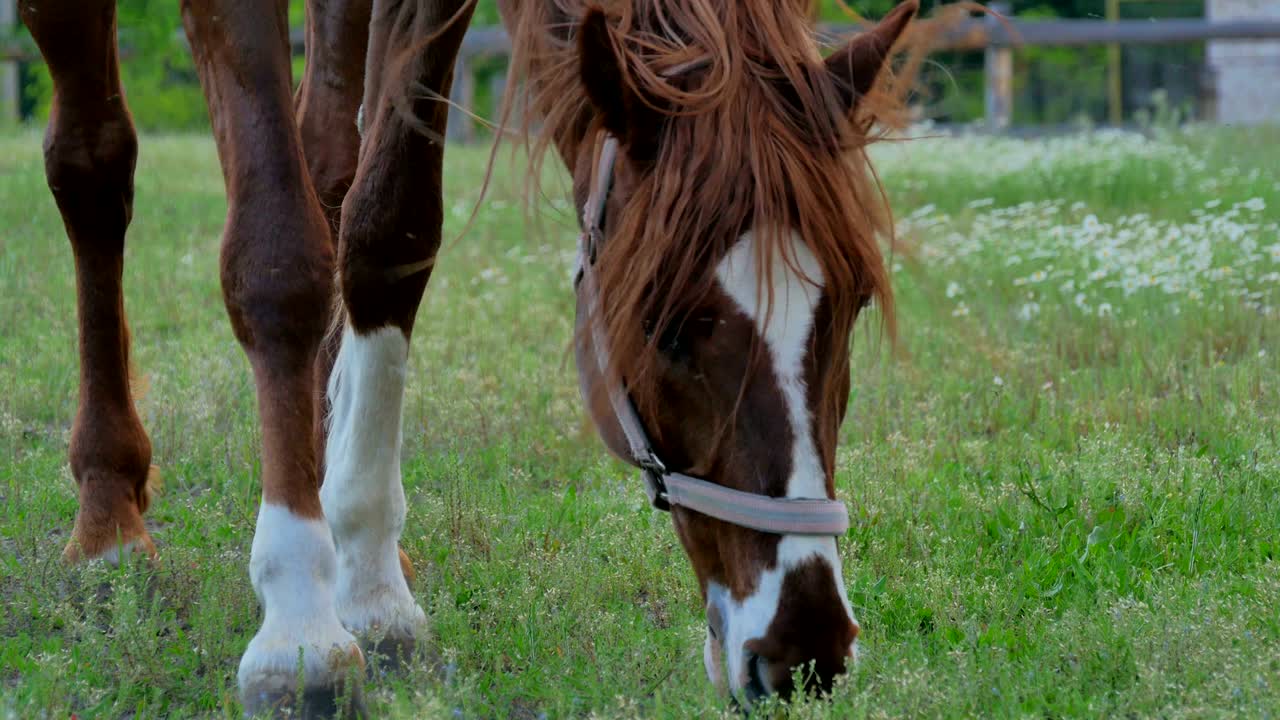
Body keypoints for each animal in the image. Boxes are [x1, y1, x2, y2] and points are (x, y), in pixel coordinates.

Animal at [18, 0, 917, 715]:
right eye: (664, 325)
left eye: (852, 307)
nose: (806, 650)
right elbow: (276, 260)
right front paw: (300, 630)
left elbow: (388, 226)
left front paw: (370, 586)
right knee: (92, 165)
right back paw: (108, 517)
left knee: (329, 160)